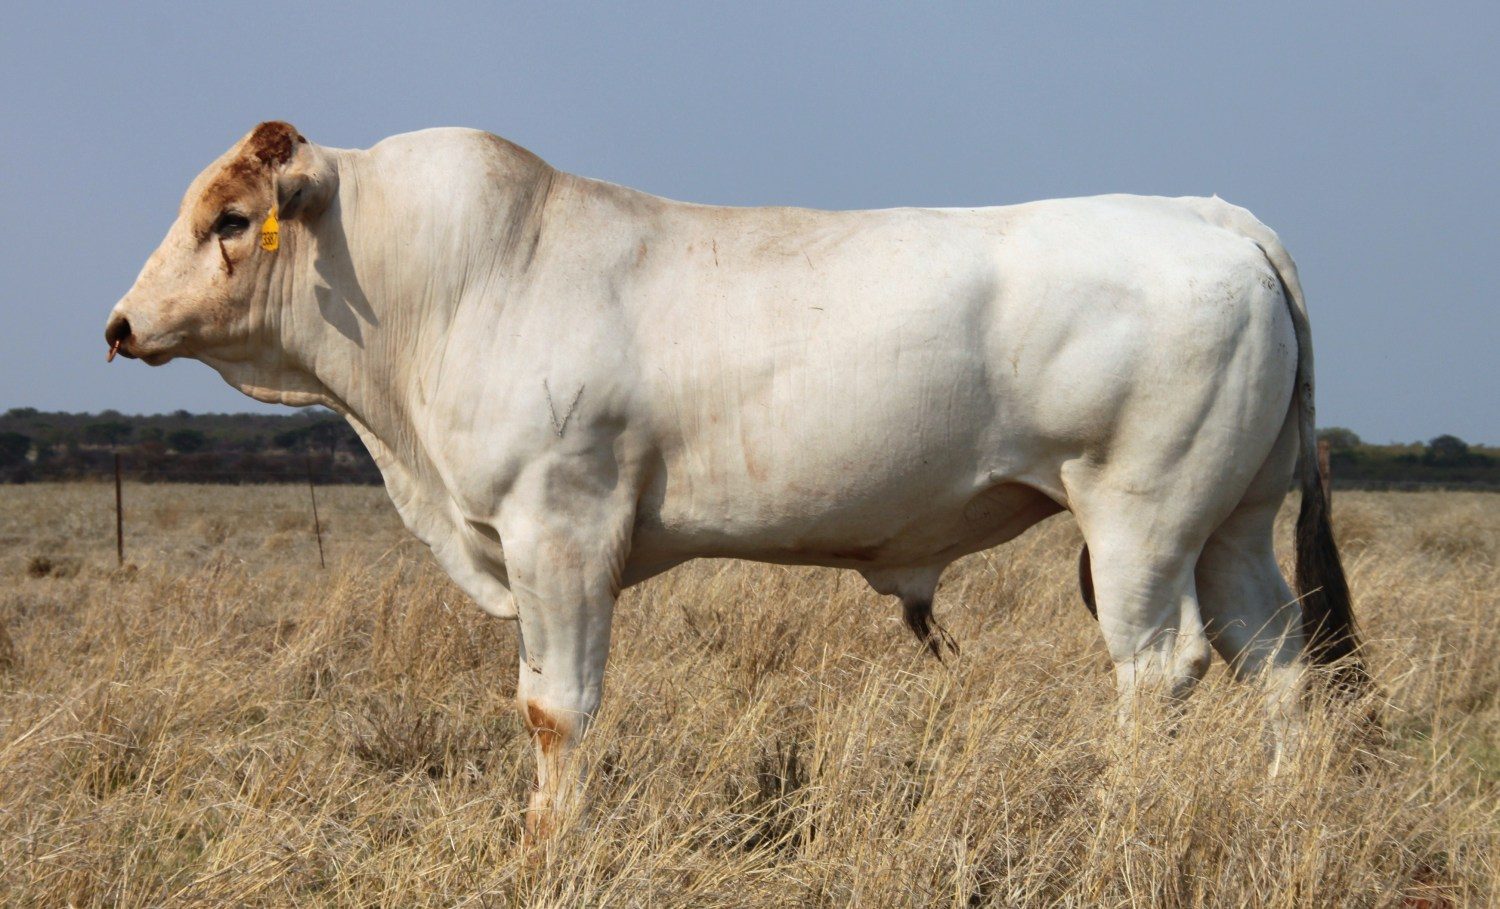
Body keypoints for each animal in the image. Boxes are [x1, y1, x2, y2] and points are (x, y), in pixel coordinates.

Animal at [105, 123, 1368, 840]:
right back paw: (1285, 804)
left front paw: (553, 844)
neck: (456, 280)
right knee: (1280, 660)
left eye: (230, 218)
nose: (120, 324)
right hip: (1234, 524)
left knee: (1161, 671)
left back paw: (1118, 816)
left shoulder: (560, 528)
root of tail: (1208, 216)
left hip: (1139, 522)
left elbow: (558, 707)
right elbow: (537, 702)